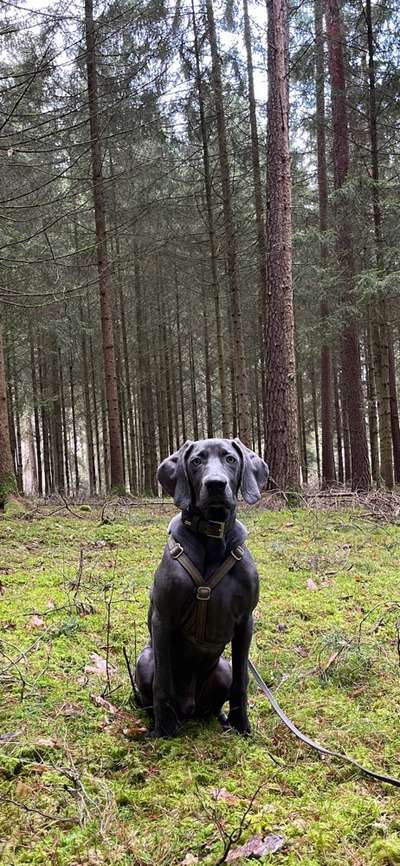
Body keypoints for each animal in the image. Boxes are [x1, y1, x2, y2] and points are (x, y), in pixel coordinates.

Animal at [134, 438, 268, 736]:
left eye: (230, 459)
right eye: (196, 461)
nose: (216, 484)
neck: (213, 536)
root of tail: (189, 707)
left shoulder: (245, 620)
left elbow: (242, 681)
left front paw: (242, 726)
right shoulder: (163, 619)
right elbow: (163, 684)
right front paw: (164, 731)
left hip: (222, 668)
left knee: (217, 702)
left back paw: (222, 719)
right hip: (144, 660)